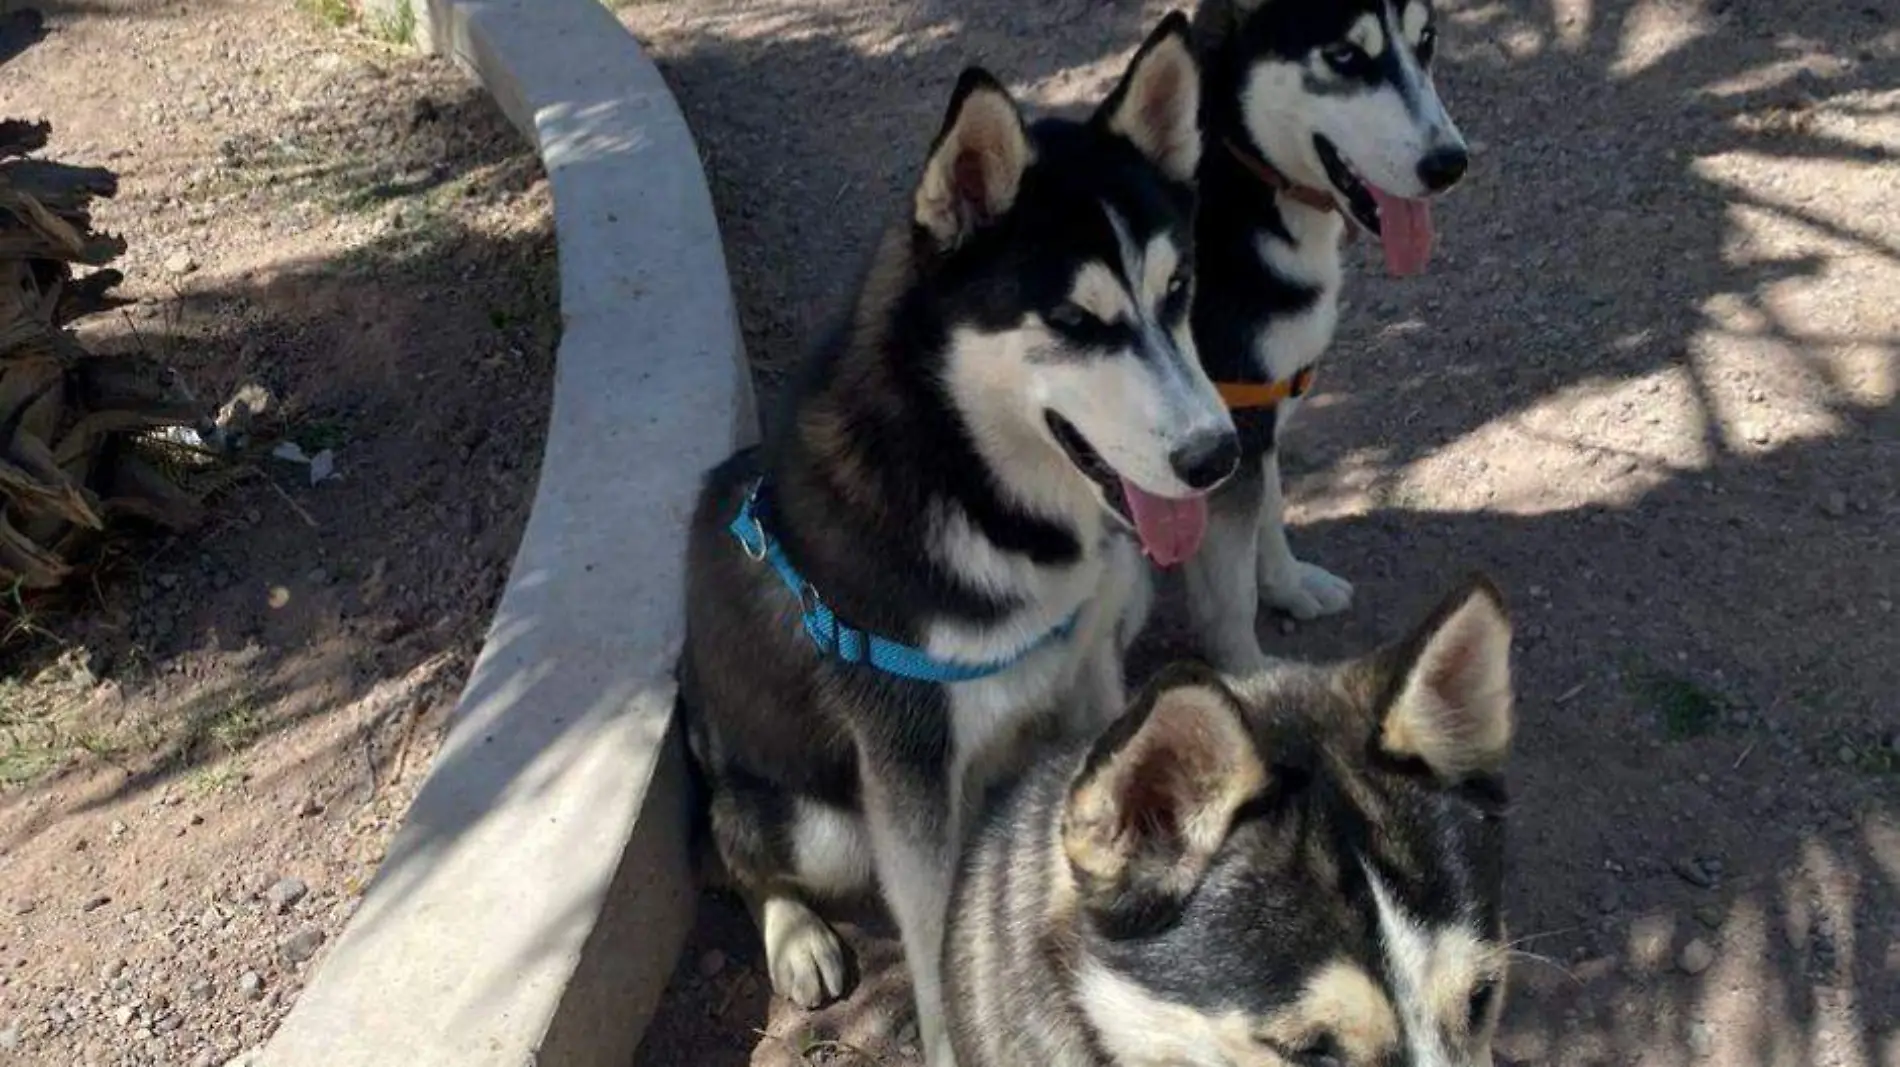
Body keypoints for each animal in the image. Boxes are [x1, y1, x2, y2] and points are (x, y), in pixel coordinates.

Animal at [680, 14, 1231, 1055]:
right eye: (1073, 319)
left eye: (1180, 289)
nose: (1216, 455)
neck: (976, 487)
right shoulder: (906, 767)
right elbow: (936, 948)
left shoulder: (1091, 675)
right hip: (817, 817)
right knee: (732, 857)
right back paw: (794, 932)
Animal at [1185, 0, 1466, 664]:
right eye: (1344, 56)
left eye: (1426, 41)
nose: (1449, 165)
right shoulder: (1225, 436)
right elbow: (1231, 597)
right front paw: (1246, 674)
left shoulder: (1258, 415)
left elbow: (1270, 518)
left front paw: (1289, 587)